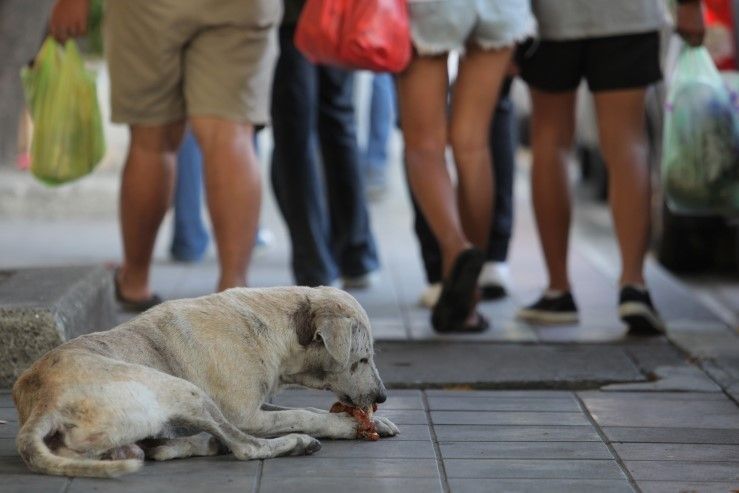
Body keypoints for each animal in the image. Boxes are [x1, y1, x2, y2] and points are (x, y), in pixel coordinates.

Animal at [11, 284, 398, 476]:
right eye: (362, 359)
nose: (382, 396)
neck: (276, 327)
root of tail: (44, 403)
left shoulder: (258, 404)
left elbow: (303, 409)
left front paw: (375, 421)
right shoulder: (246, 415)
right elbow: (302, 415)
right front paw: (346, 425)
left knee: (156, 448)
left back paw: (197, 443)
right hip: (183, 390)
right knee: (246, 447)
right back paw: (294, 443)